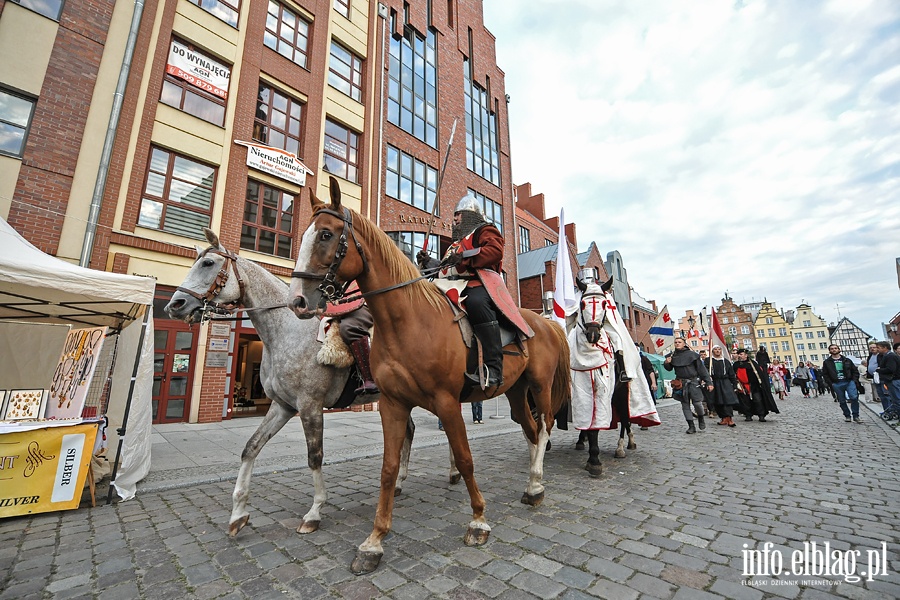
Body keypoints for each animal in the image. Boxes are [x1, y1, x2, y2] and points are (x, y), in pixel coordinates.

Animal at [164, 232, 418, 536]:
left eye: (208, 263)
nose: (174, 305)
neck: (286, 331)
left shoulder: (309, 406)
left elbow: (314, 456)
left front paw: (314, 512)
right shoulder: (282, 406)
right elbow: (251, 447)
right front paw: (238, 513)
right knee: (409, 430)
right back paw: (402, 482)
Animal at [288, 177, 568, 572]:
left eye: (326, 234)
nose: (297, 300)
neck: (408, 320)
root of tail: (544, 322)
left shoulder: (447, 403)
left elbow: (465, 459)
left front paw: (478, 520)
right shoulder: (392, 405)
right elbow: (389, 467)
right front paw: (374, 541)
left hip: (540, 388)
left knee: (543, 429)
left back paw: (537, 482)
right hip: (516, 392)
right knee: (530, 431)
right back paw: (532, 484)